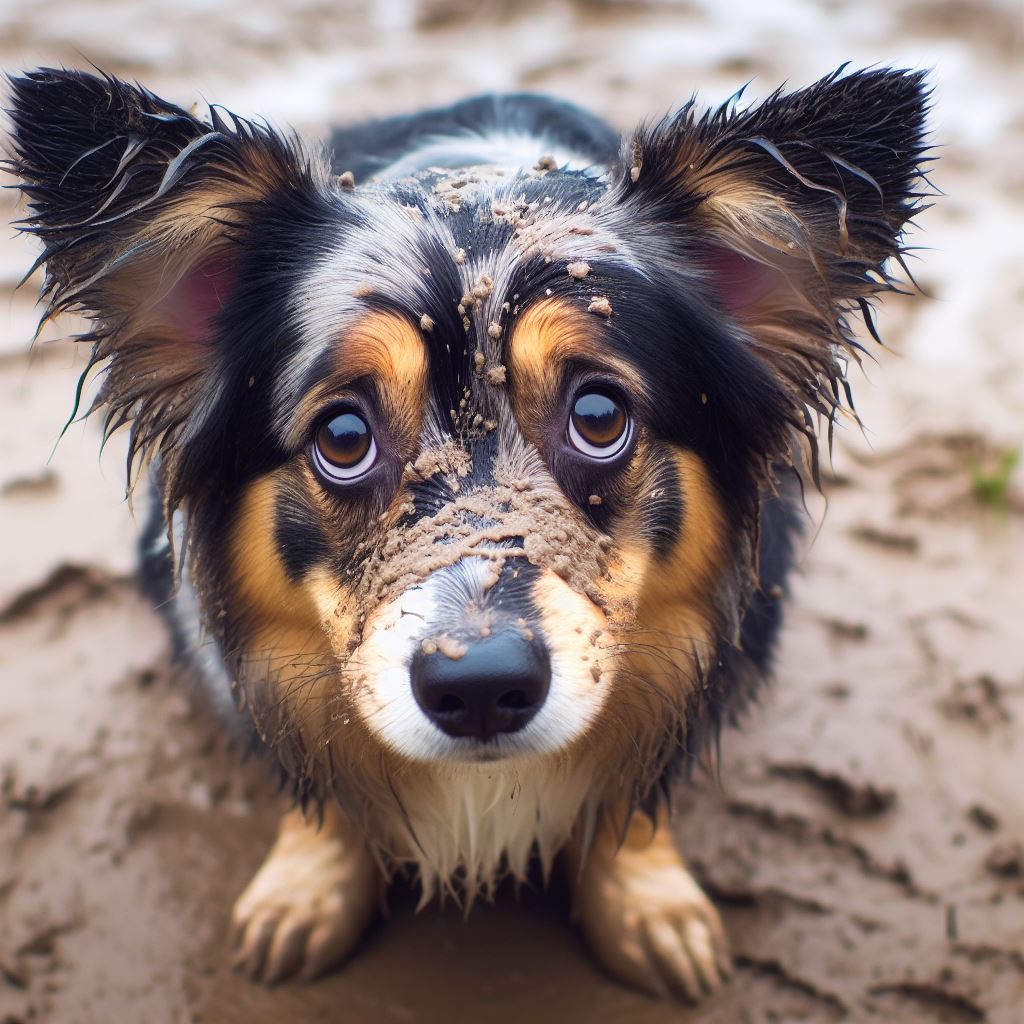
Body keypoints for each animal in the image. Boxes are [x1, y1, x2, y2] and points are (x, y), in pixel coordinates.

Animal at [4, 66, 933, 999]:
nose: (482, 688)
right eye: (344, 436)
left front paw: (648, 901)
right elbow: (316, 780)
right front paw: (306, 887)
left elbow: (637, 787)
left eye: (600, 416)